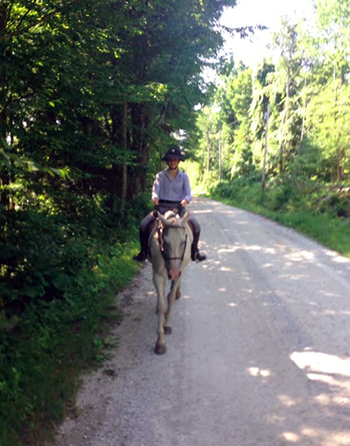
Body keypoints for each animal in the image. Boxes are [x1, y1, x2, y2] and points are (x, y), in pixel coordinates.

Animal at [147, 211, 193, 354]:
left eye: (183, 242)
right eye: (165, 242)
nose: (173, 272)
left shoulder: (179, 273)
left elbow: (171, 298)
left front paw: (167, 325)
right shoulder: (158, 275)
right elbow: (162, 304)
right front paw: (160, 342)